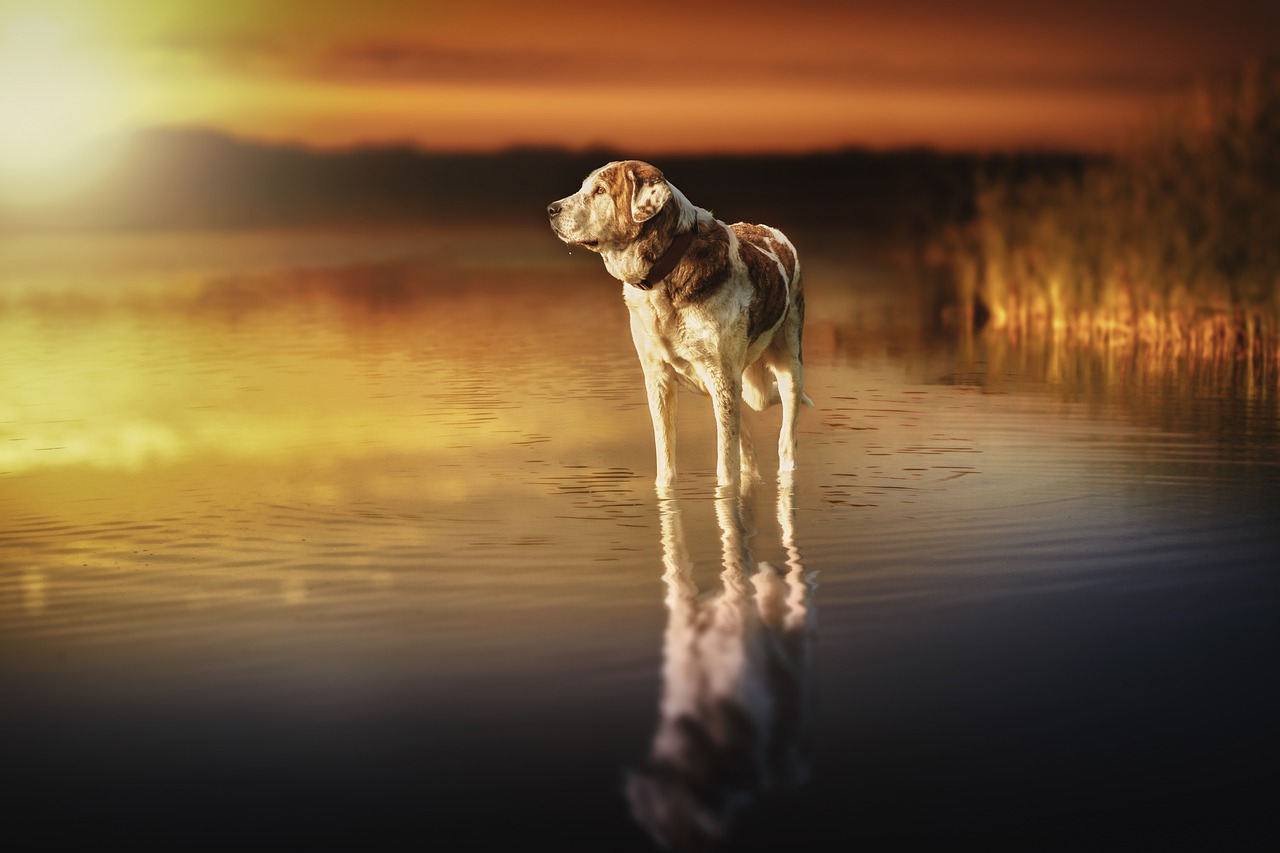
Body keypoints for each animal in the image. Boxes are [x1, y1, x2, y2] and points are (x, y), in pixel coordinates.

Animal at [547, 160, 808, 489]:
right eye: (584, 187)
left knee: (785, 435)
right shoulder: (659, 379)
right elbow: (666, 457)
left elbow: (726, 465)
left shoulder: (722, 380)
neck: (666, 274)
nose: (551, 209)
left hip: (786, 363)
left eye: (600, 190)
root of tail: (769, 229)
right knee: (747, 435)